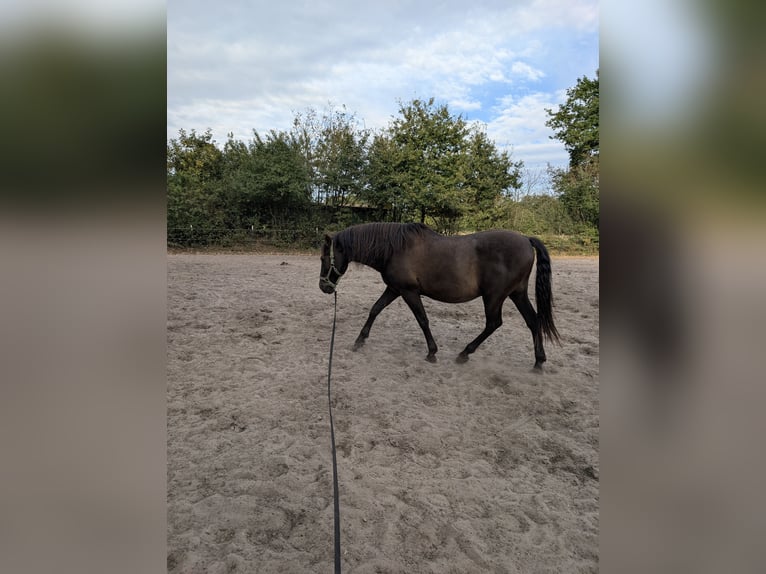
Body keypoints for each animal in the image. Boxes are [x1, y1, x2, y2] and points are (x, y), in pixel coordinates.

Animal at [318, 222, 560, 370]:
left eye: (323, 258)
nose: (324, 287)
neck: (394, 249)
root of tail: (526, 240)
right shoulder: (395, 289)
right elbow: (375, 309)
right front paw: (359, 341)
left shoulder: (408, 291)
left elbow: (422, 320)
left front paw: (432, 352)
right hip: (517, 293)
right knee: (533, 321)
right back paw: (539, 362)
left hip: (494, 297)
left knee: (494, 323)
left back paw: (464, 353)